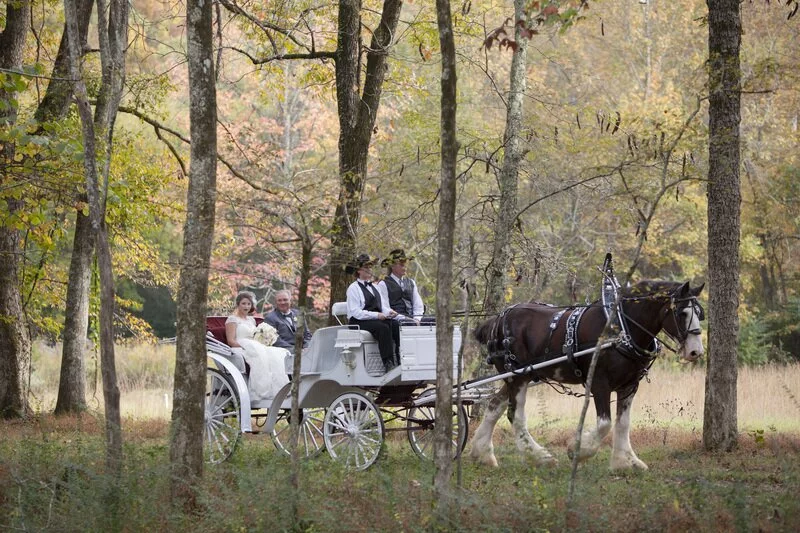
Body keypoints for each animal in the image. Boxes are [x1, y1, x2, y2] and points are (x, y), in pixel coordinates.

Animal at [472, 280, 704, 468]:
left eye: (699, 313)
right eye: (682, 313)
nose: (696, 352)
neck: (621, 327)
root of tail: (497, 319)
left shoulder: (629, 385)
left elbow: (623, 423)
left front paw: (625, 462)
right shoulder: (599, 383)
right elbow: (605, 424)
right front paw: (578, 450)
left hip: (520, 376)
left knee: (494, 406)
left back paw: (483, 454)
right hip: (517, 377)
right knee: (516, 415)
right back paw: (539, 457)